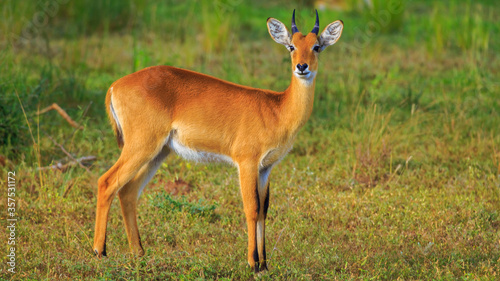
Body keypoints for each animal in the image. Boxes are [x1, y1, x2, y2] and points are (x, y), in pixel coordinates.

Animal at [94, 10, 344, 272]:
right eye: (291, 46)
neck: (277, 109)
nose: (301, 67)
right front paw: (252, 263)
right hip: (141, 146)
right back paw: (100, 251)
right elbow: (252, 208)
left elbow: (264, 210)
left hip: (158, 152)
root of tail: (114, 86)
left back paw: (139, 253)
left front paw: (265, 265)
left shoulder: (266, 168)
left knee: (128, 191)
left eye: (317, 46)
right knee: (106, 182)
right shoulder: (247, 162)